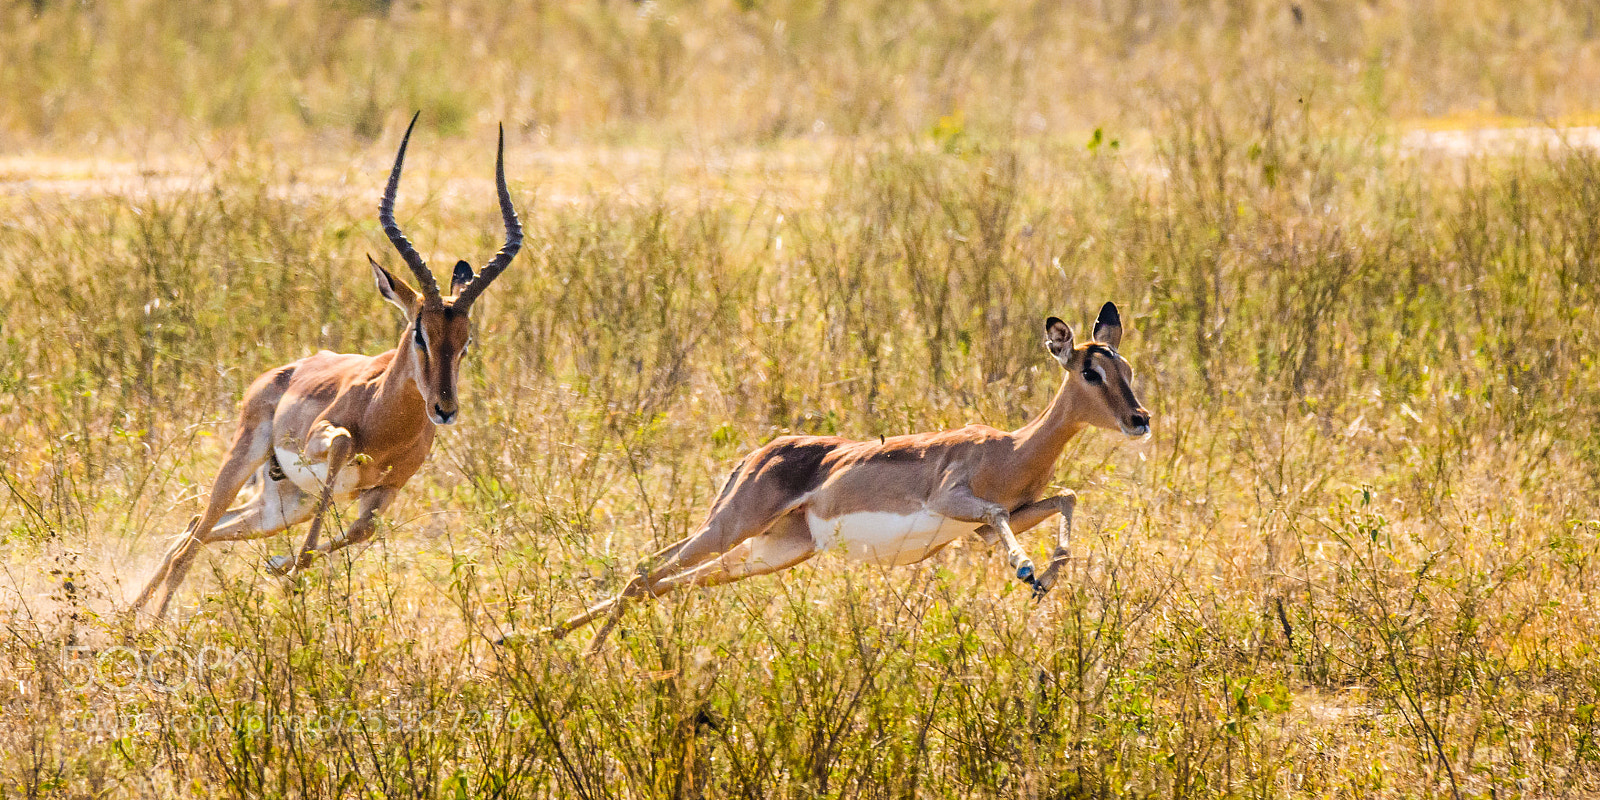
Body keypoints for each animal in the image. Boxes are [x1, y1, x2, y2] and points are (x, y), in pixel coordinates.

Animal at [131, 114, 522, 619]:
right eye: (419, 332)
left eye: (465, 342)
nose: (445, 409)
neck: (386, 420)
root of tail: (279, 373)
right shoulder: (326, 441)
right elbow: (341, 444)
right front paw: (287, 566)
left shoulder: (386, 491)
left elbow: (360, 531)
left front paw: (280, 565)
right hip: (244, 459)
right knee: (189, 545)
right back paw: (145, 626)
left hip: (279, 507)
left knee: (193, 529)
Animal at [552, 302, 1150, 651]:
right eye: (1090, 371)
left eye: (1126, 368)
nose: (1139, 419)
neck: (1011, 448)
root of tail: (758, 454)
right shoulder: (955, 500)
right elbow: (1004, 509)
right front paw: (1026, 570)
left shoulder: (984, 527)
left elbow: (1067, 497)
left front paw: (1046, 577)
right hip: (735, 525)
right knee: (645, 572)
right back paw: (578, 657)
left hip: (773, 550)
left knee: (660, 578)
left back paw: (540, 640)